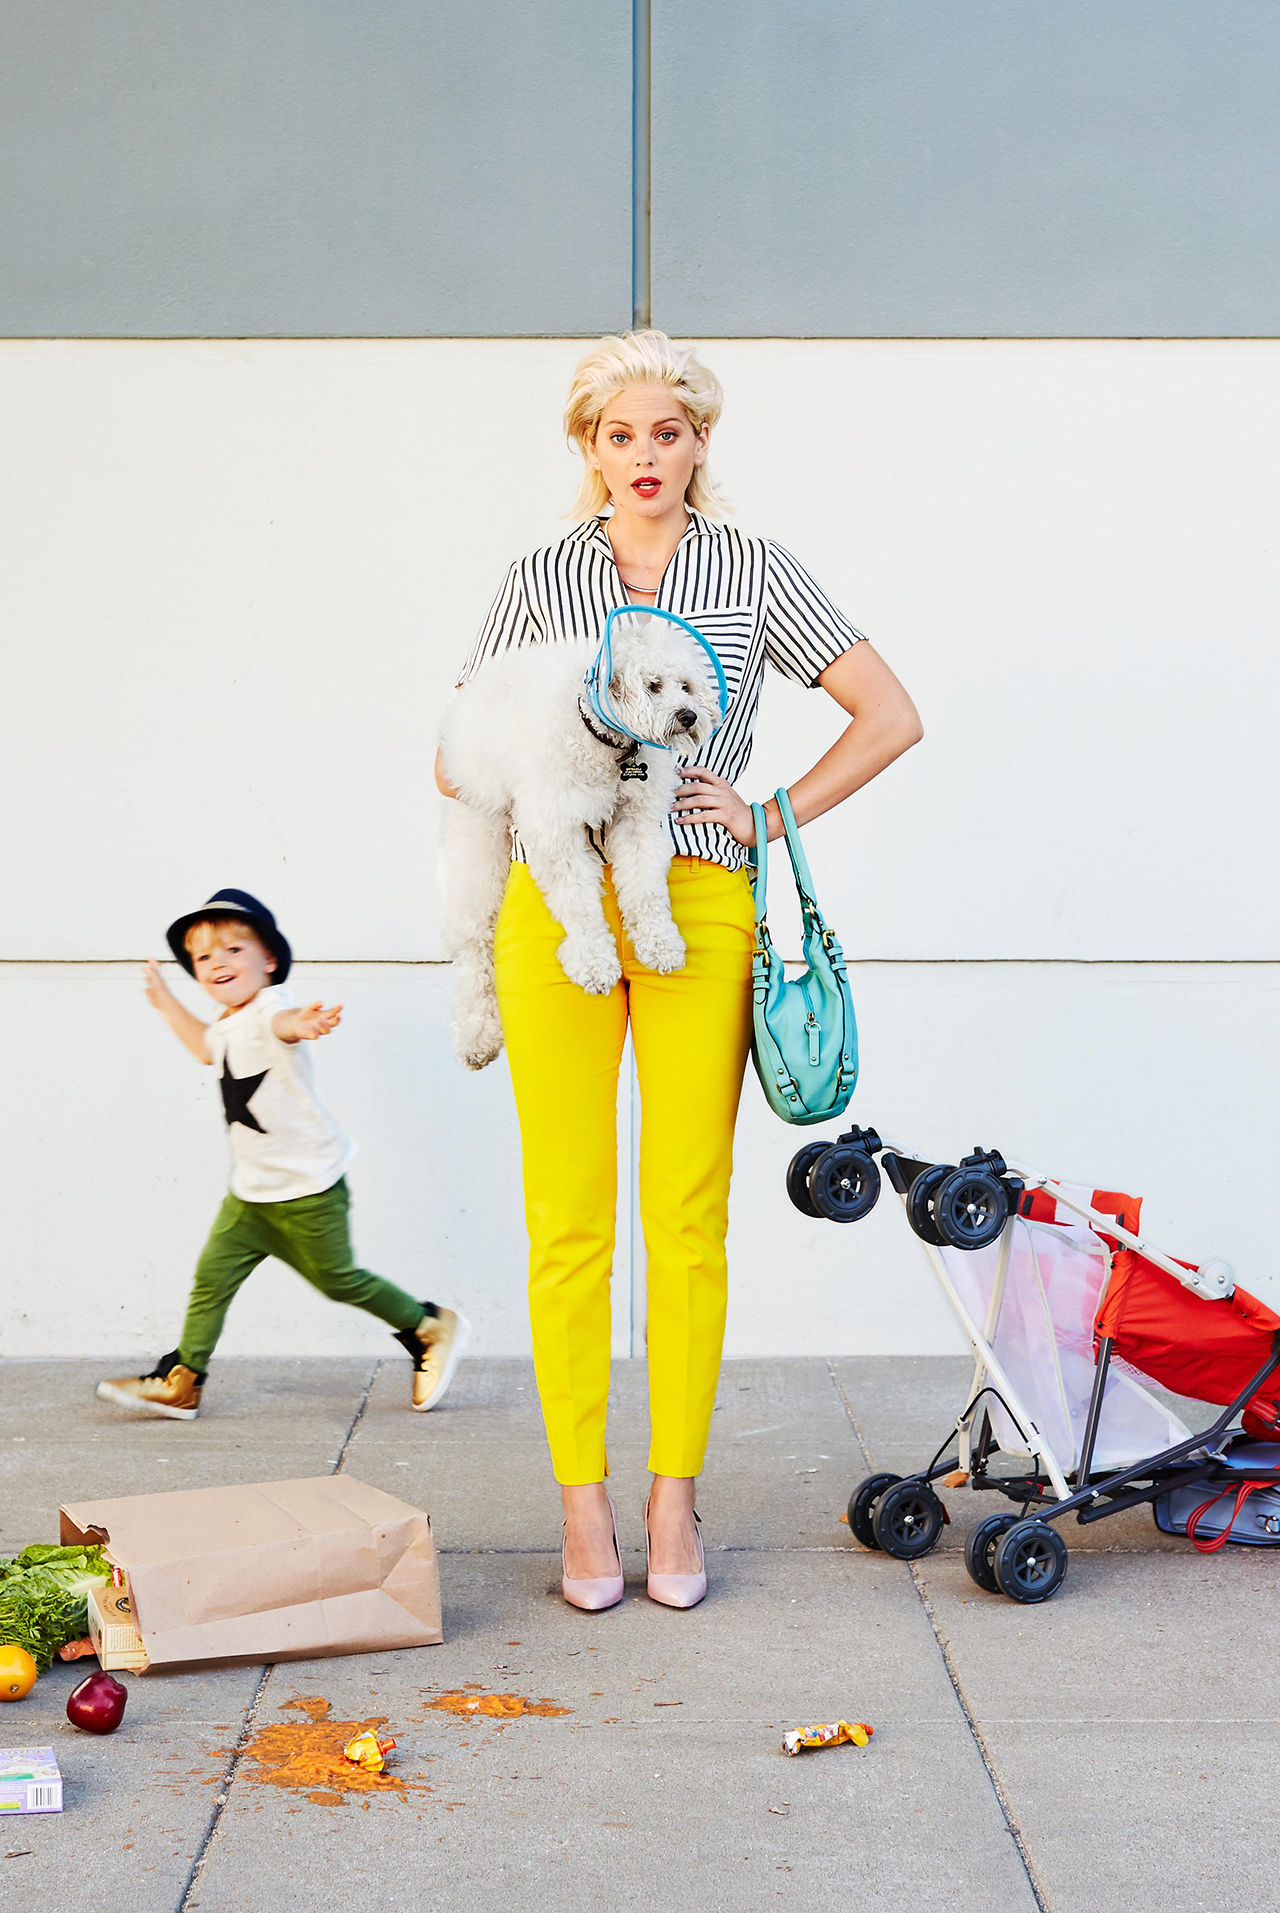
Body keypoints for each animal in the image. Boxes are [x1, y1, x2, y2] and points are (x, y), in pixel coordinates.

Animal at [436, 612, 719, 1071]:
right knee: (475, 950)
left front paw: (660, 944)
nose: (691, 715)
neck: (603, 742)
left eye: (687, 685)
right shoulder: (557, 830)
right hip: (478, 843)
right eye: (654, 685)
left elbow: (645, 891)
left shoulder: (638, 822)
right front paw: (594, 962)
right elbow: (579, 904)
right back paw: (477, 1037)